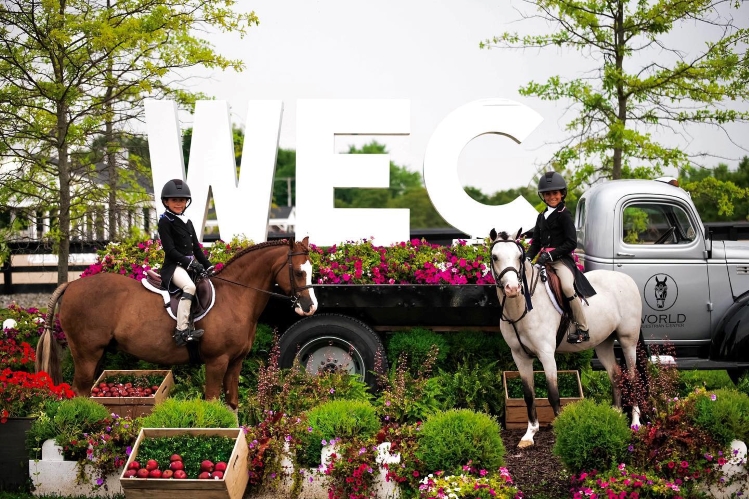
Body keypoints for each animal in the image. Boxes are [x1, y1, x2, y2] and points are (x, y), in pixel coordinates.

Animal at [35, 237, 318, 410]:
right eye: (299, 272)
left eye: (311, 270)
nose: (310, 307)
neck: (235, 296)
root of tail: (71, 285)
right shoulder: (217, 361)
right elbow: (212, 400)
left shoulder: (235, 362)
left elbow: (232, 402)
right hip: (86, 353)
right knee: (79, 394)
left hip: (97, 355)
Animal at [489, 229, 643, 448]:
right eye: (495, 257)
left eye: (519, 257)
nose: (512, 288)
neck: (522, 307)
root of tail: (627, 279)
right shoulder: (520, 356)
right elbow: (529, 394)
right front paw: (529, 434)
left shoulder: (546, 354)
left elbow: (553, 394)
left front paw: (560, 431)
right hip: (603, 344)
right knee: (615, 375)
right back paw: (615, 414)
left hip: (627, 341)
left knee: (632, 377)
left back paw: (635, 422)